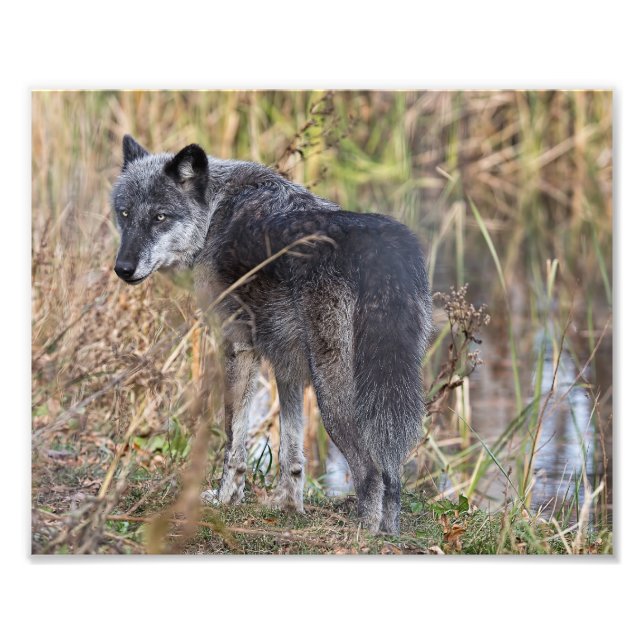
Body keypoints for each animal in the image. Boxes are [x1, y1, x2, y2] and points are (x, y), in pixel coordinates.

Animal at [112, 135, 432, 534]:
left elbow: (234, 437)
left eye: (159, 217)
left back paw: (363, 534)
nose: (122, 268)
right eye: (125, 214)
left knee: (372, 472)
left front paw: (225, 499)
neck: (215, 216)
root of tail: (383, 253)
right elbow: (291, 452)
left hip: (335, 396)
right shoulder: (287, 365)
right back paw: (388, 532)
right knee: (393, 473)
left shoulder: (237, 347)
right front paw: (288, 507)